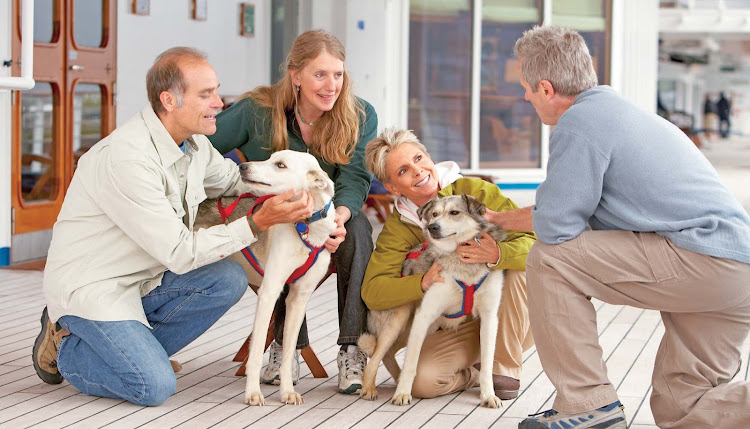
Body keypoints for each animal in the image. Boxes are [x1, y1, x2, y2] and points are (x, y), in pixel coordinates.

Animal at [195, 150, 336, 404]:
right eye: (270, 158)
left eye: (280, 165)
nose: (242, 167)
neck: (304, 226)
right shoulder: (269, 292)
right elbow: (257, 348)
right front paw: (252, 393)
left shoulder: (298, 299)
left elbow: (288, 353)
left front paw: (287, 391)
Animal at [360, 196, 512, 406]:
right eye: (434, 214)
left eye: (454, 212)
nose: (433, 227)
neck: (461, 260)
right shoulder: (424, 315)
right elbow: (411, 363)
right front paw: (402, 393)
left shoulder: (489, 318)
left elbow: (487, 365)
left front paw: (488, 395)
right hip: (401, 317)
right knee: (376, 355)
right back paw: (369, 388)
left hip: (416, 329)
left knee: (388, 353)